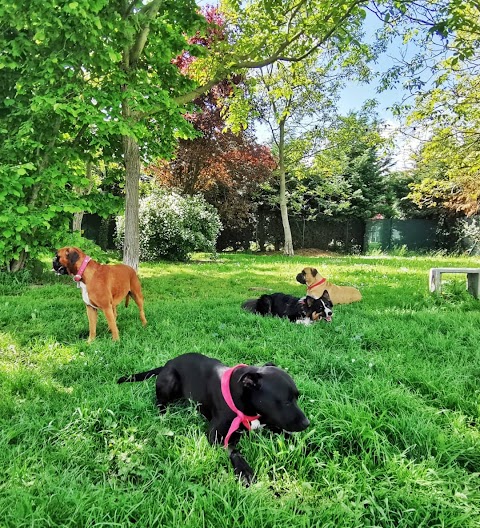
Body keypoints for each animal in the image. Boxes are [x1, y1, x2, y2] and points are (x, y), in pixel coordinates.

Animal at [118, 352, 310, 484]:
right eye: (286, 402)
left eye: (297, 397)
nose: (307, 423)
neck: (243, 402)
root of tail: (168, 362)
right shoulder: (216, 435)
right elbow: (233, 450)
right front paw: (245, 470)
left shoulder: (270, 422)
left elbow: (290, 435)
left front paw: (309, 447)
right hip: (170, 381)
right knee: (159, 400)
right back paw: (163, 413)